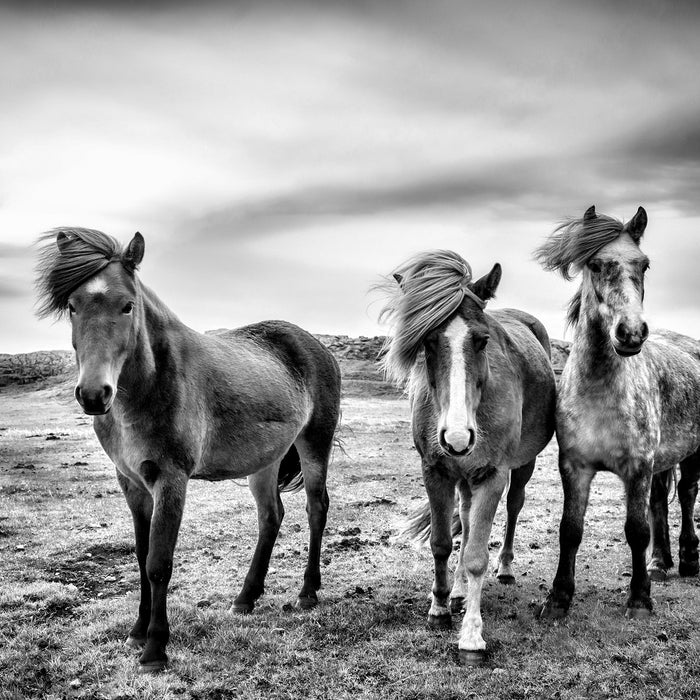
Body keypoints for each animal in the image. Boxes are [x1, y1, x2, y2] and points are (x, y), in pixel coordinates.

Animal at [36, 230, 342, 672]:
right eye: (72, 306)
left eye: (127, 305)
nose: (94, 394)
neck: (148, 388)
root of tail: (315, 345)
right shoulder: (132, 483)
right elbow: (141, 557)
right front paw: (136, 633)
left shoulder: (170, 480)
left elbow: (158, 563)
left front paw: (155, 649)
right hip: (264, 460)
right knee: (271, 517)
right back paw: (245, 598)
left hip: (314, 444)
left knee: (316, 508)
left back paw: (307, 592)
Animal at [380, 249, 556, 664]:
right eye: (427, 341)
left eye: (482, 340)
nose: (457, 438)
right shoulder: (435, 471)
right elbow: (443, 543)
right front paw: (440, 607)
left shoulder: (492, 474)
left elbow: (476, 555)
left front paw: (472, 636)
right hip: (461, 475)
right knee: (464, 513)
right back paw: (458, 592)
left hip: (521, 467)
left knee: (513, 508)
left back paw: (504, 568)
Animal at [536, 206, 700, 616]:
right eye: (595, 264)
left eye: (644, 264)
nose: (631, 332)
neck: (600, 392)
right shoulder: (574, 466)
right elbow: (570, 529)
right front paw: (558, 598)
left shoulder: (637, 467)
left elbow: (635, 530)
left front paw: (639, 598)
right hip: (662, 460)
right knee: (661, 500)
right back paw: (660, 563)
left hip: (693, 453)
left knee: (687, 494)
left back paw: (689, 560)